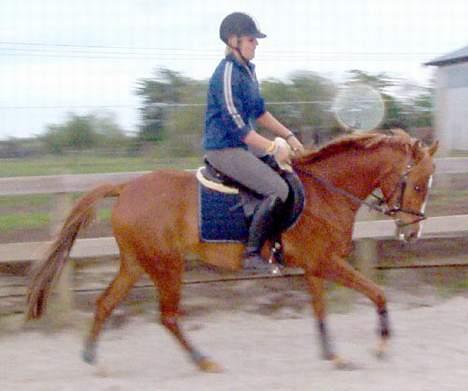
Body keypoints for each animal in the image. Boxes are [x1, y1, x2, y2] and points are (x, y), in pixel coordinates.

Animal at [26, 130, 438, 372]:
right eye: (418, 185)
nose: (412, 231)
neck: (326, 191)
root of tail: (126, 187)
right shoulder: (326, 262)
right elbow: (377, 292)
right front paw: (381, 345)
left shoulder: (314, 267)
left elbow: (321, 311)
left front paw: (333, 354)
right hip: (166, 265)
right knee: (168, 316)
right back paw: (202, 361)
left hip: (136, 263)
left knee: (106, 304)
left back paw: (92, 357)